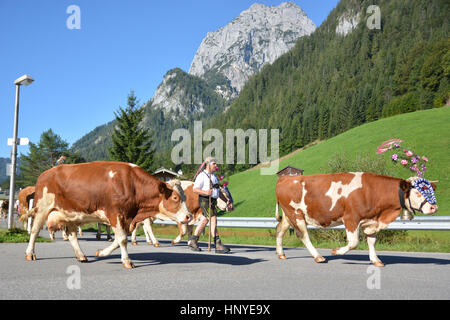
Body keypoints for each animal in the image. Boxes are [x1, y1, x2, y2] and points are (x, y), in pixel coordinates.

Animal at [19, 161, 192, 268]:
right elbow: (122, 240)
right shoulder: (115, 214)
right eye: (175, 198)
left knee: (72, 235)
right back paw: (30, 253)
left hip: (71, 214)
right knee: (34, 230)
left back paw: (81, 255)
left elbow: (118, 239)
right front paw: (127, 261)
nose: (189, 216)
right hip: (42, 208)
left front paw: (101, 252)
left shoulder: (125, 218)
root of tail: (46, 173)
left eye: (185, 196)